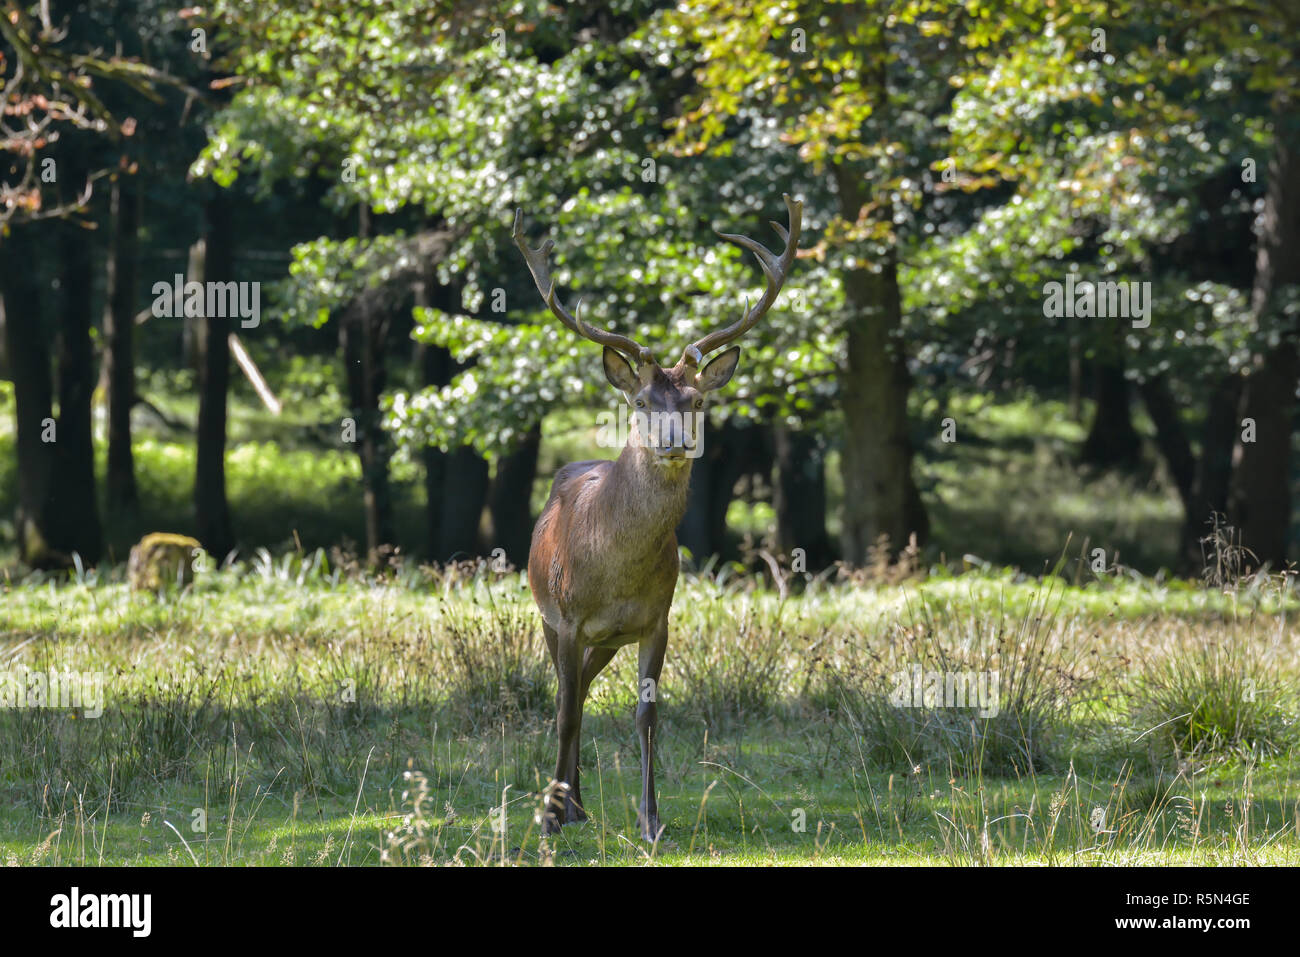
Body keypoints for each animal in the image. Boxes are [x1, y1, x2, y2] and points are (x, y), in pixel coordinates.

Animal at [509, 192, 800, 837]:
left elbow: (647, 718)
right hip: (546, 615)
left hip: (607, 640)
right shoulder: (568, 616)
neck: (614, 572)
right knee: (567, 697)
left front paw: (650, 821)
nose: (672, 440)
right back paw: (562, 804)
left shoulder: (657, 619)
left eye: (696, 400)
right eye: (642, 400)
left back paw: (578, 802)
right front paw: (548, 818)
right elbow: (563, 713)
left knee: (584, 691)